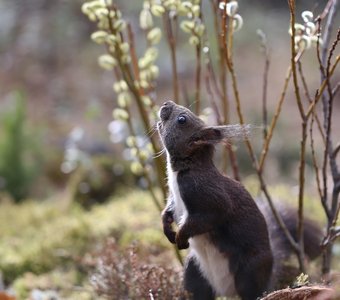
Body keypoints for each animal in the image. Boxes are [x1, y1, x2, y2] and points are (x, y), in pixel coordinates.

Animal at [157, 101, 322, 300]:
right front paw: (167, 228)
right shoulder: (174, 196)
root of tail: (226, 291)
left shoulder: (206, 193)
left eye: (182, 120)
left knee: (251, 291)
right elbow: (170, 209)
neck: (186, 168)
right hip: (194, 270)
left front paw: (180, 236)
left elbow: (211, 215)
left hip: (248, 271)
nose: (166, 103)